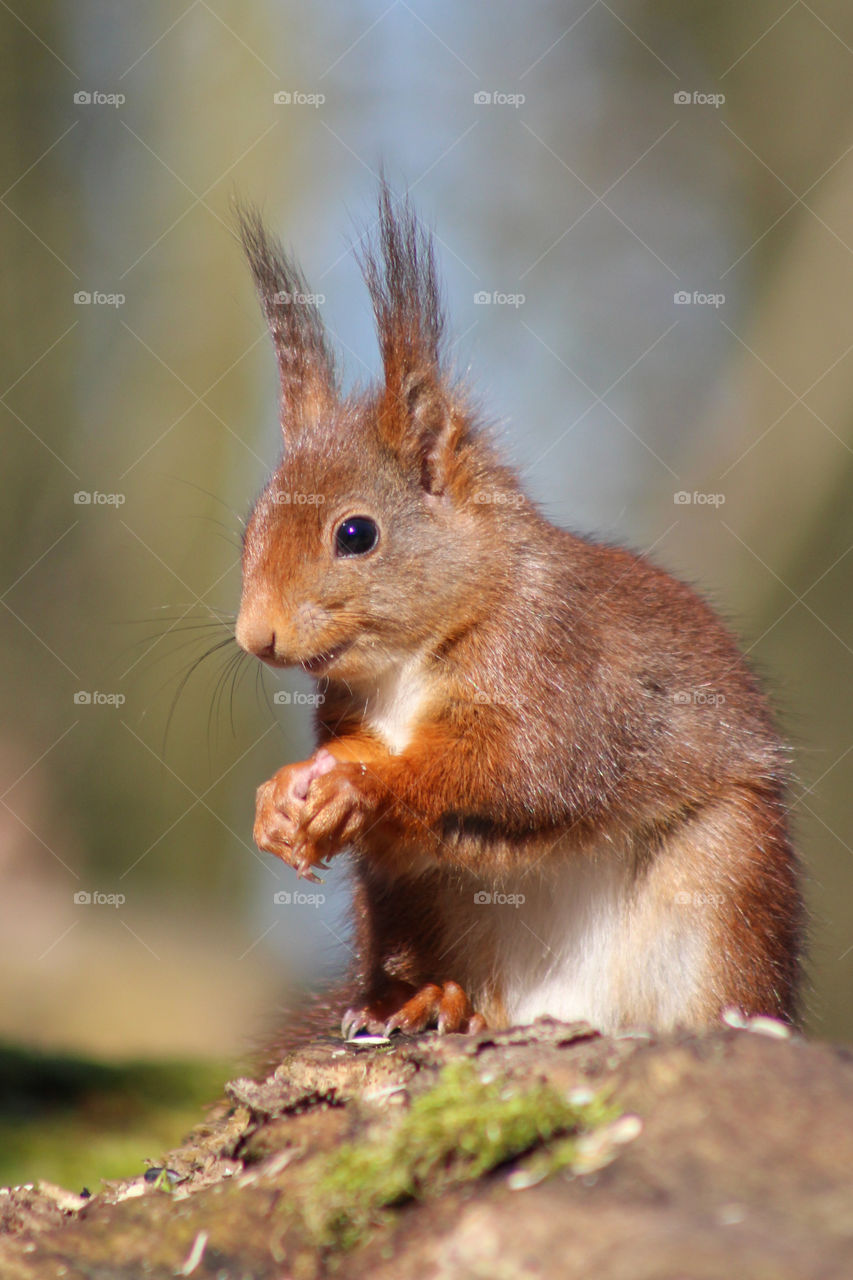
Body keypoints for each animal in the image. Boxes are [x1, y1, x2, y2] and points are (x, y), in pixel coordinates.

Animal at [230, 185, 799, 1034]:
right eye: (251, 527)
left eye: (355, 534)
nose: (254, 636)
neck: (405, 664)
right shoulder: (346, 709)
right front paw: (283, 798)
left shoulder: (552, 667)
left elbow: (517, 768)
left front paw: (359, 784)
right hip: (410, 902)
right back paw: (428, 999)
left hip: (726, 884)